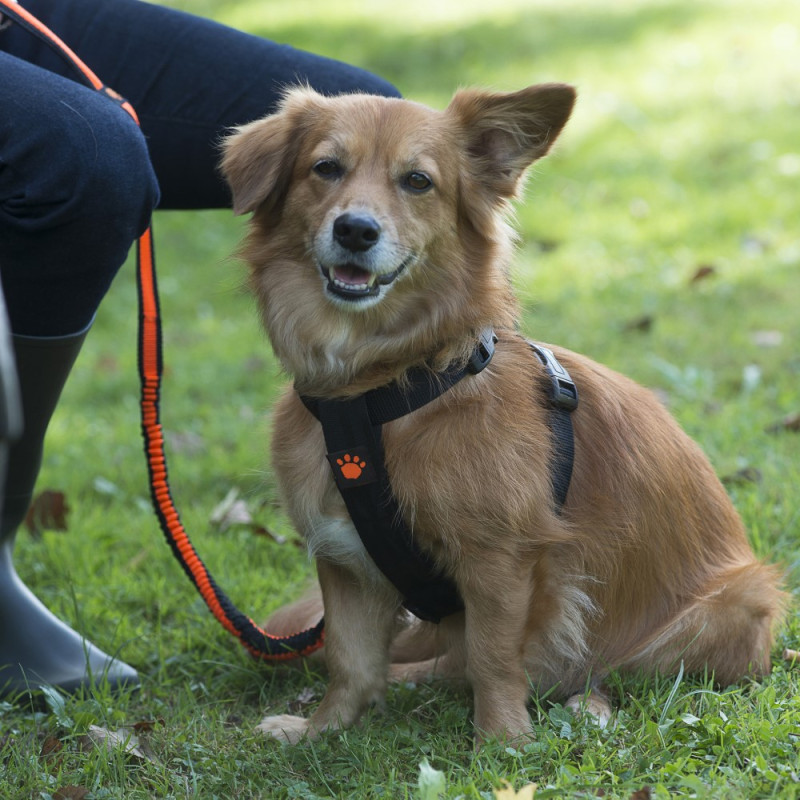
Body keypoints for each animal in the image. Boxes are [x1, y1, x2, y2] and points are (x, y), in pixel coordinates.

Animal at [222, 84, 784, 748]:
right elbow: (351, 660)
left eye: (418, 181)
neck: (384, 388)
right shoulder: (346, 557)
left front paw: (501, 744)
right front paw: (321, 730)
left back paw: (576, 704)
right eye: (325, 168)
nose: (355, 230)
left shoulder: (501, 560)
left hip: (733, 604)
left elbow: (492, 657)